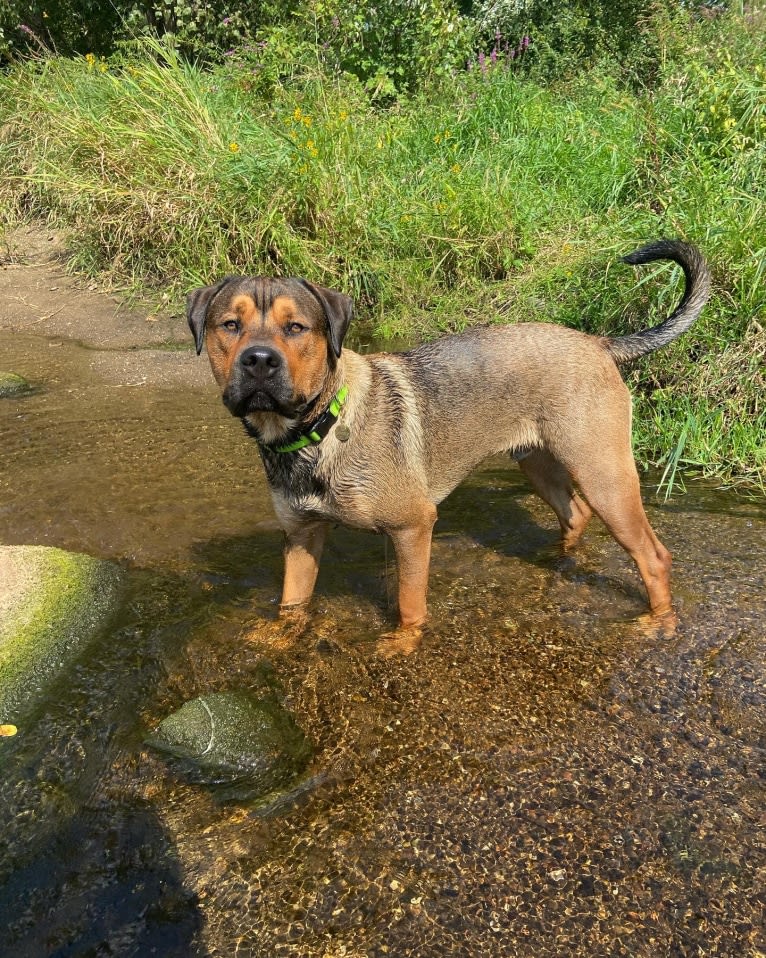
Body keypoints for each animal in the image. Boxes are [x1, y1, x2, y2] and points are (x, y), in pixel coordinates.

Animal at [189, 239, 712, 632]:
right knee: (575, 515)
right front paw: (278, 641)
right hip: (539, 463)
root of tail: (598, 343)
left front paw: (401, 648)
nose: (259, 361)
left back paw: (659, 622)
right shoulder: (301, 538)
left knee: (654, 556)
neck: (320, 431)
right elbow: (291, 607)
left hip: (604, 474)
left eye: (295, 327)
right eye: (229, 325)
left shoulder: (413, 527)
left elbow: (409, 608)